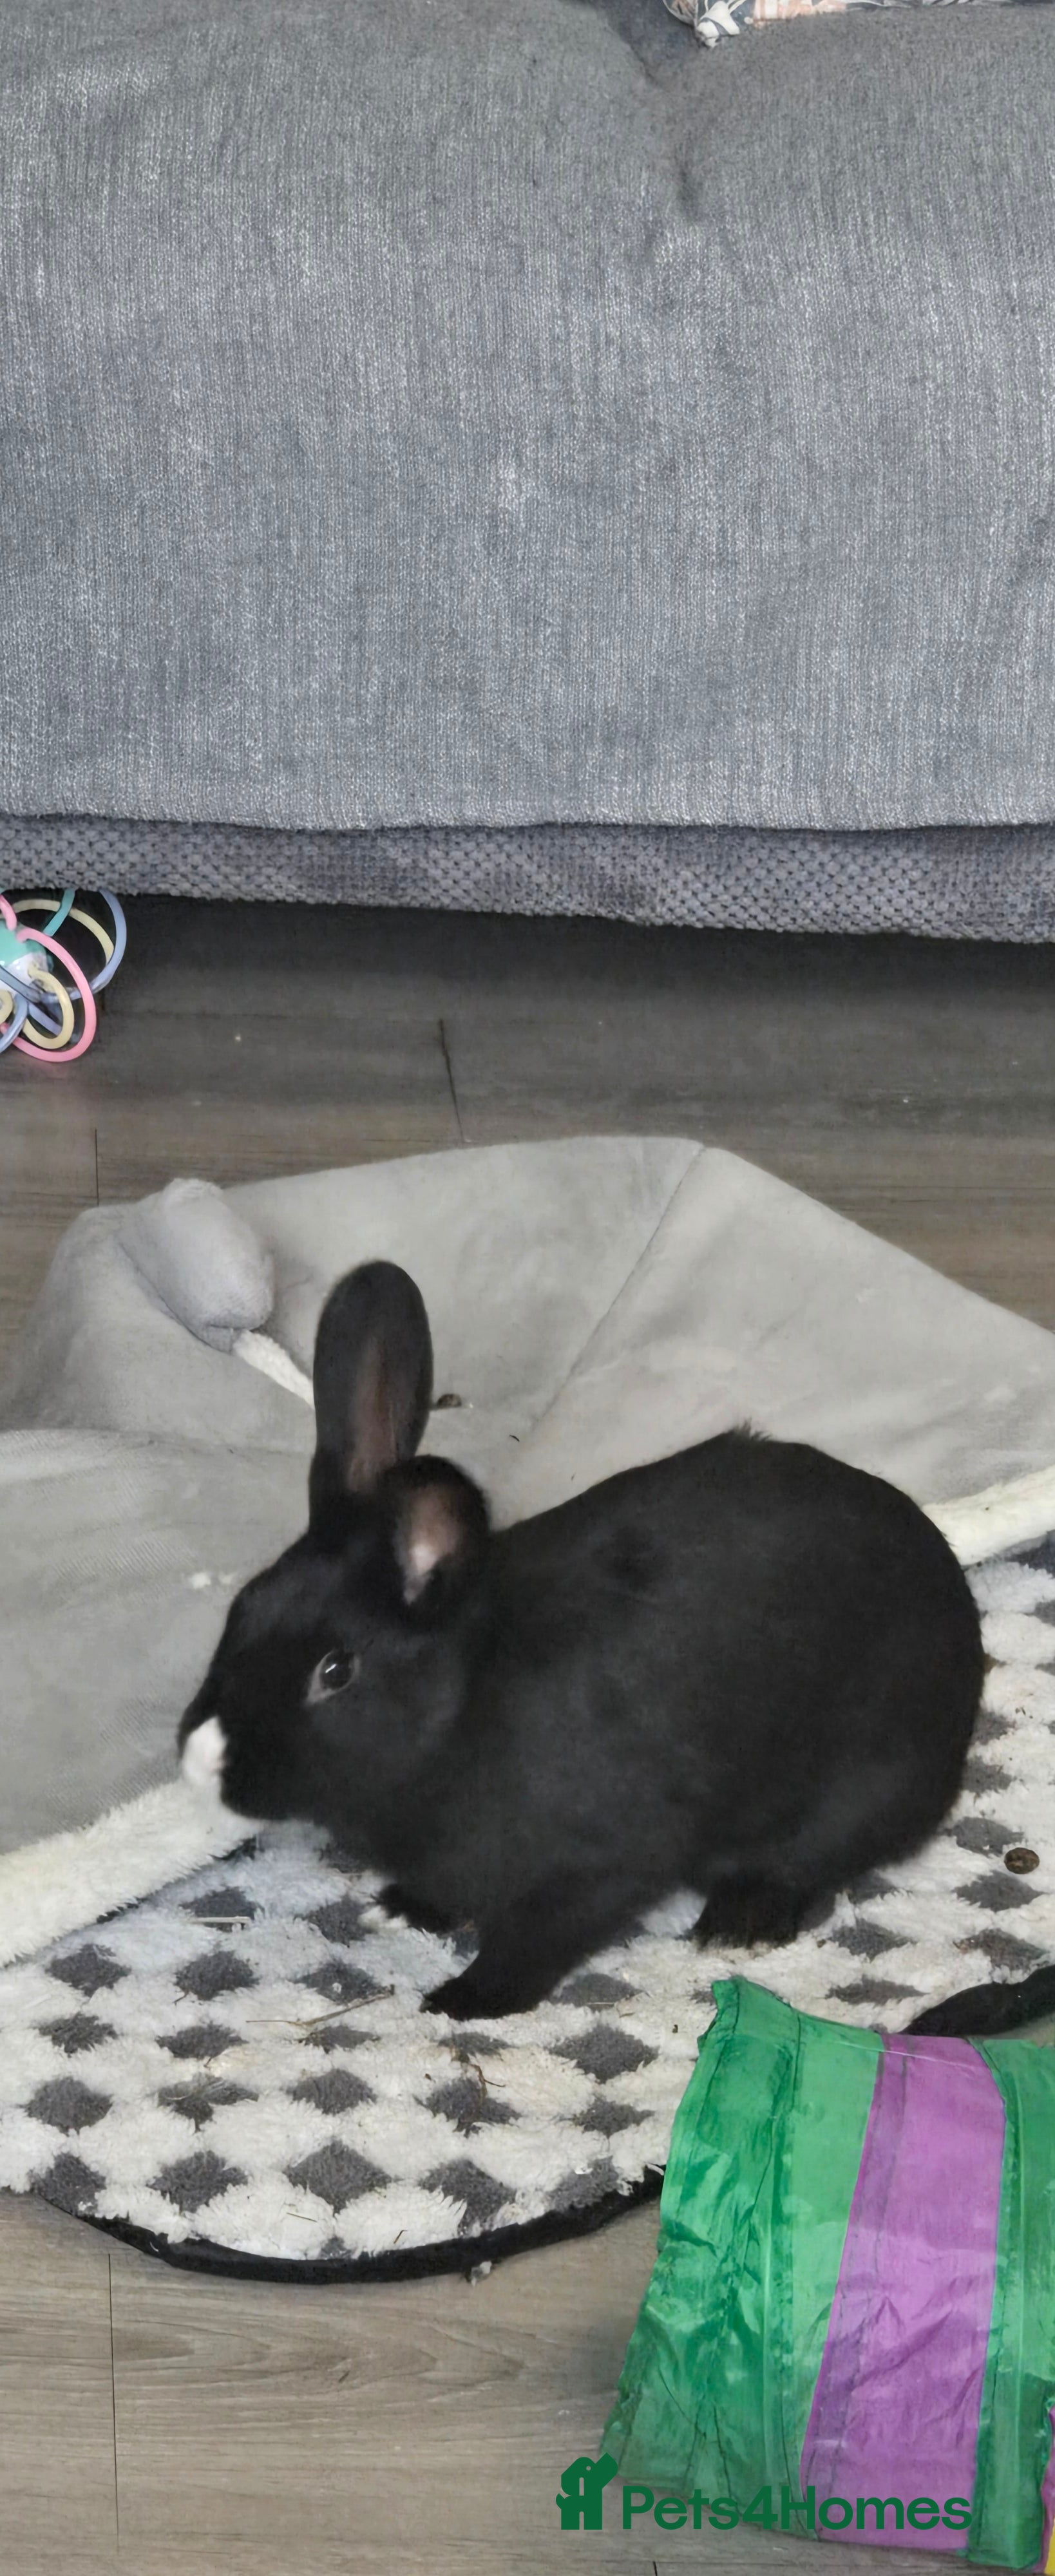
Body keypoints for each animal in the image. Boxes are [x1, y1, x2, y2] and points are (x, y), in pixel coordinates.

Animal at [178, 1257, 985, 2021]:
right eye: (243, 1607)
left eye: (336, 1670)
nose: (199, 1756)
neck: (459, 1714)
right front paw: (405, 1909)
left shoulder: (601, 1865)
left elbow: (536, 1940)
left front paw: (464, 2001)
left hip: (861, 1784)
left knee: (812, 1862)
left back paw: (739, 1921)